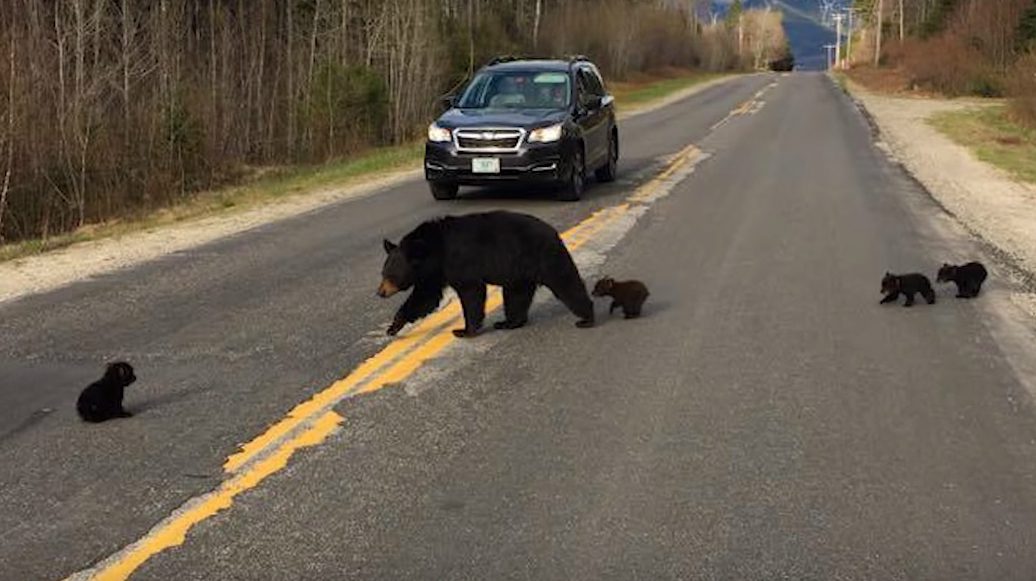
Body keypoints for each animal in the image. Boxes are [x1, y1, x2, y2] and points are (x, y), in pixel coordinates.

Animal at [377, 209, 596, 337]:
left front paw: (464, 330)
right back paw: (508, 322)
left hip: (545, 256)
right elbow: (425, 297)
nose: (380, 292)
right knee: (516, 296)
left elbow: (471, 292)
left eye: (390, 275)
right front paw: (393, 326)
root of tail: (554, 232)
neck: (435, 249)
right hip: (519, 272)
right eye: (383, 273)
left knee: (566, 282)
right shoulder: (435, 273)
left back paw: (587, 318)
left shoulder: (459, 261)